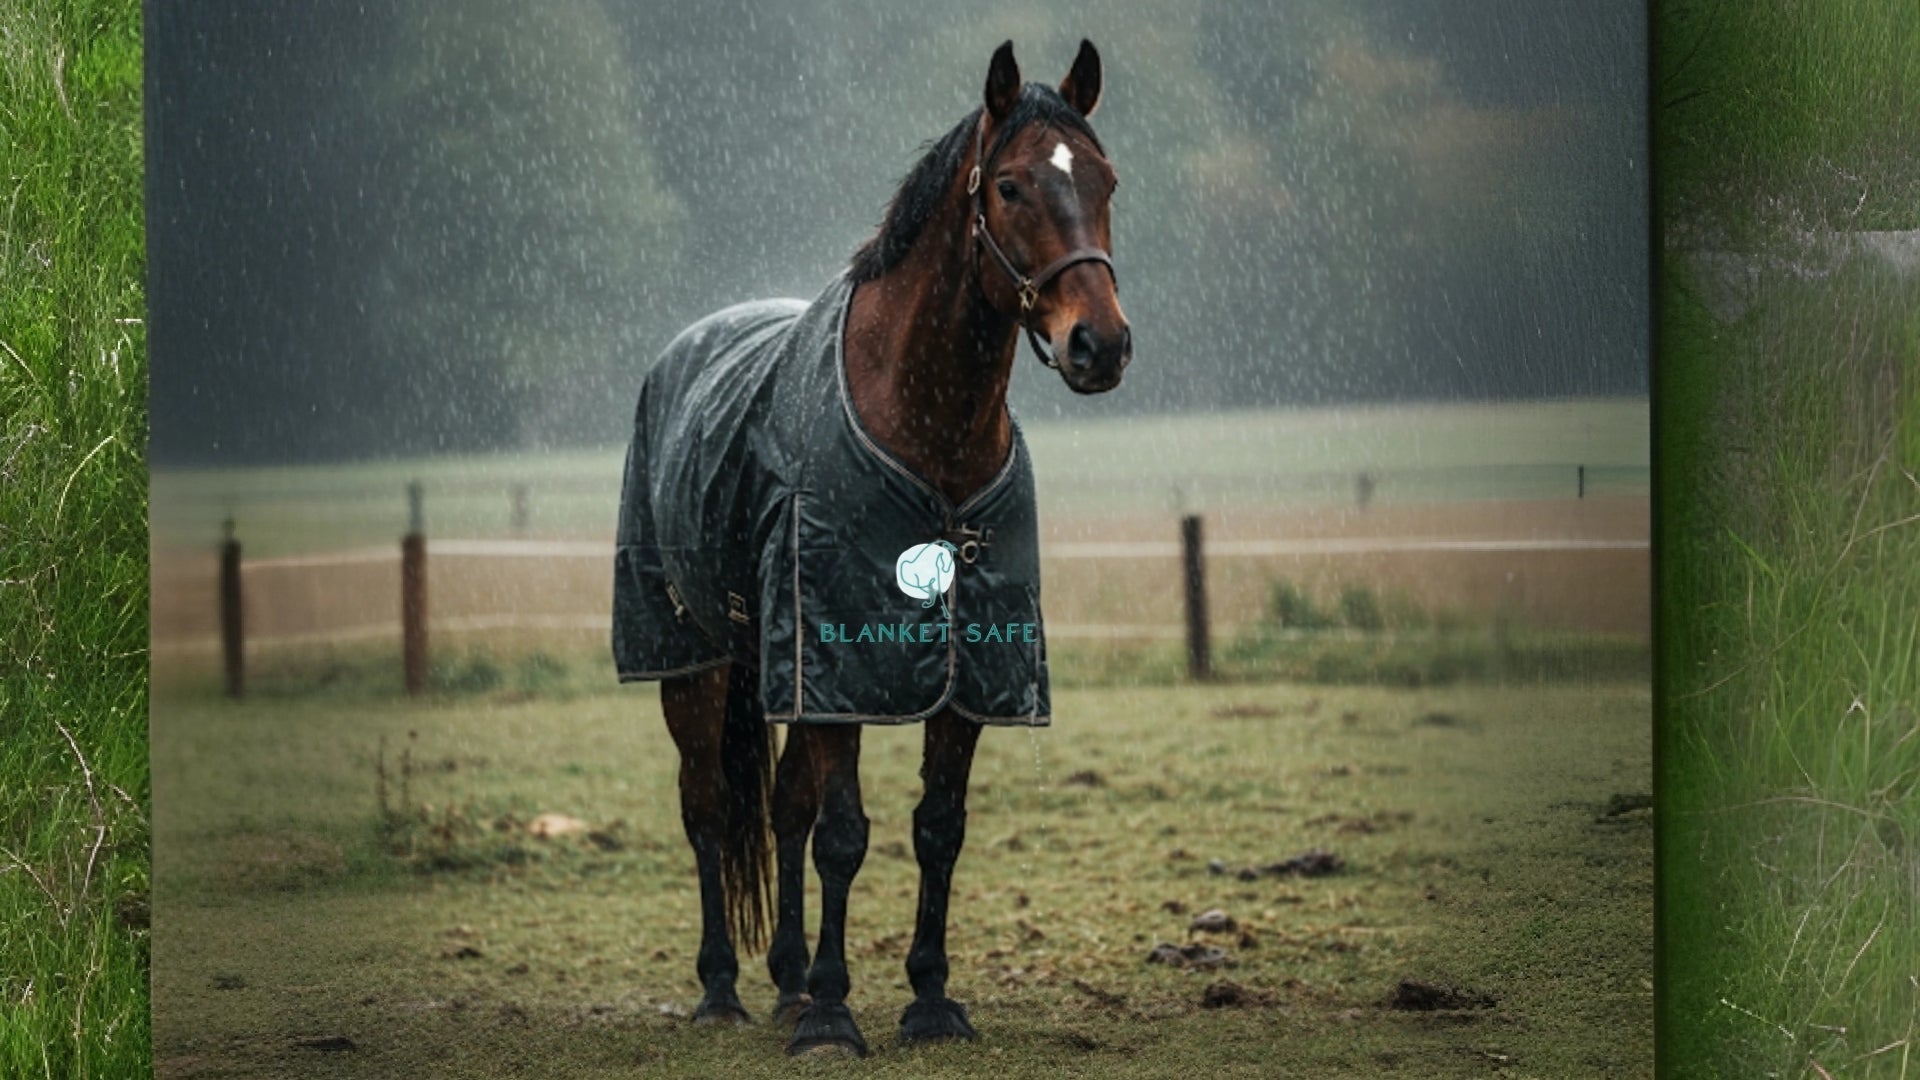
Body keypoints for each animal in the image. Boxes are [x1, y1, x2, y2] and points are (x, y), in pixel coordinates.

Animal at [614, 39, 1128, 1056]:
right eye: (1009, 186)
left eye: (1106, 181)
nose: (1101, 344)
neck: (930, 432)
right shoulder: (836, 664)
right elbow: (845, 835)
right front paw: (834, 1014)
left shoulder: (964, 674)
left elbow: (937, 827)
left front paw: (927, 999)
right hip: (692, 660)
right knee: (710, 807)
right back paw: (723, 987)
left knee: (780, 809)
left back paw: (783, 980)